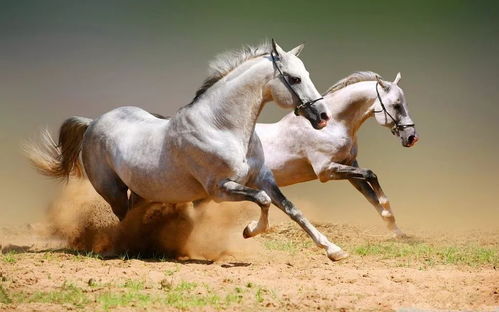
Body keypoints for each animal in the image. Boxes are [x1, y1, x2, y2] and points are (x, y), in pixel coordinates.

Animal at [28, 40, 352, 260]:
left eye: (306, 73)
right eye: (294, 78)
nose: (323, 116)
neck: (221, 127)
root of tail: (93, 122)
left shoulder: (262, 178)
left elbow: (291, 209)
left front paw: (334, 250)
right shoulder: (219, 190)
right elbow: (262, 201)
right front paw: (249, 230)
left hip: (142, 191)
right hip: (113, 190)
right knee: (123, 220)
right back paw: (129, 247)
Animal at [254, 72, 418, 244]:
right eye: (396, 105)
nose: (412, 137)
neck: (332, 127)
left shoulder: (350, 166)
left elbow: (371, 196)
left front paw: (397, 232)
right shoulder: (326, 171)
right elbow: (370, 174)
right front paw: (387, 209)